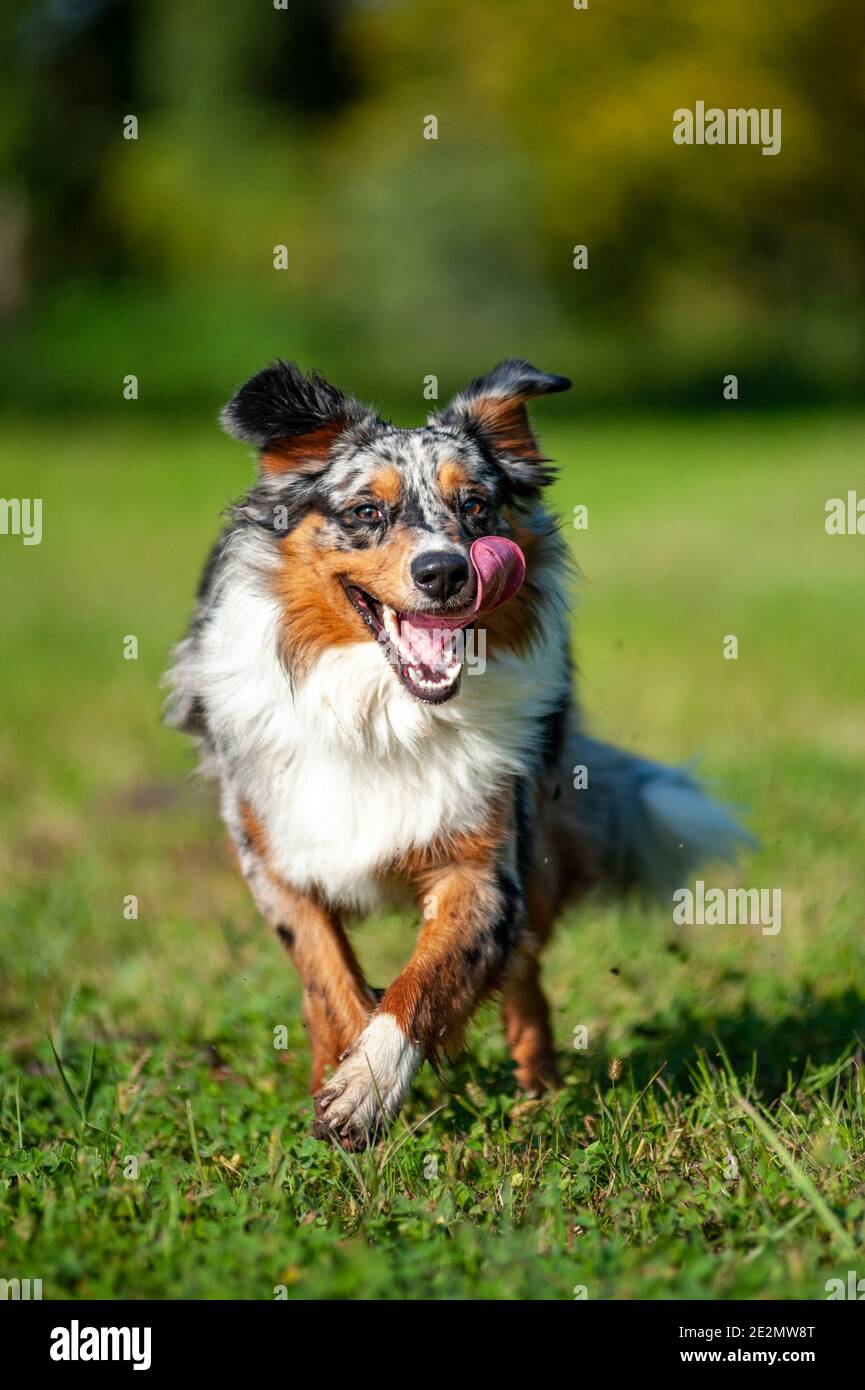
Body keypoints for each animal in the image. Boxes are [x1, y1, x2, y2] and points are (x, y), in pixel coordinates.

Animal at [166, 358, 750, 1150]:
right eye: (365, 513)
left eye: (474, 506)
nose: (445, 572)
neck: (386, 715)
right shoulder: (277, 859)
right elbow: (329, 982)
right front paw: (342, 1080)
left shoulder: (485, 869)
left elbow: (425, 983)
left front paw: (368, 1086)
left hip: (539, 859)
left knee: (526, 982)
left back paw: (539, 1098)